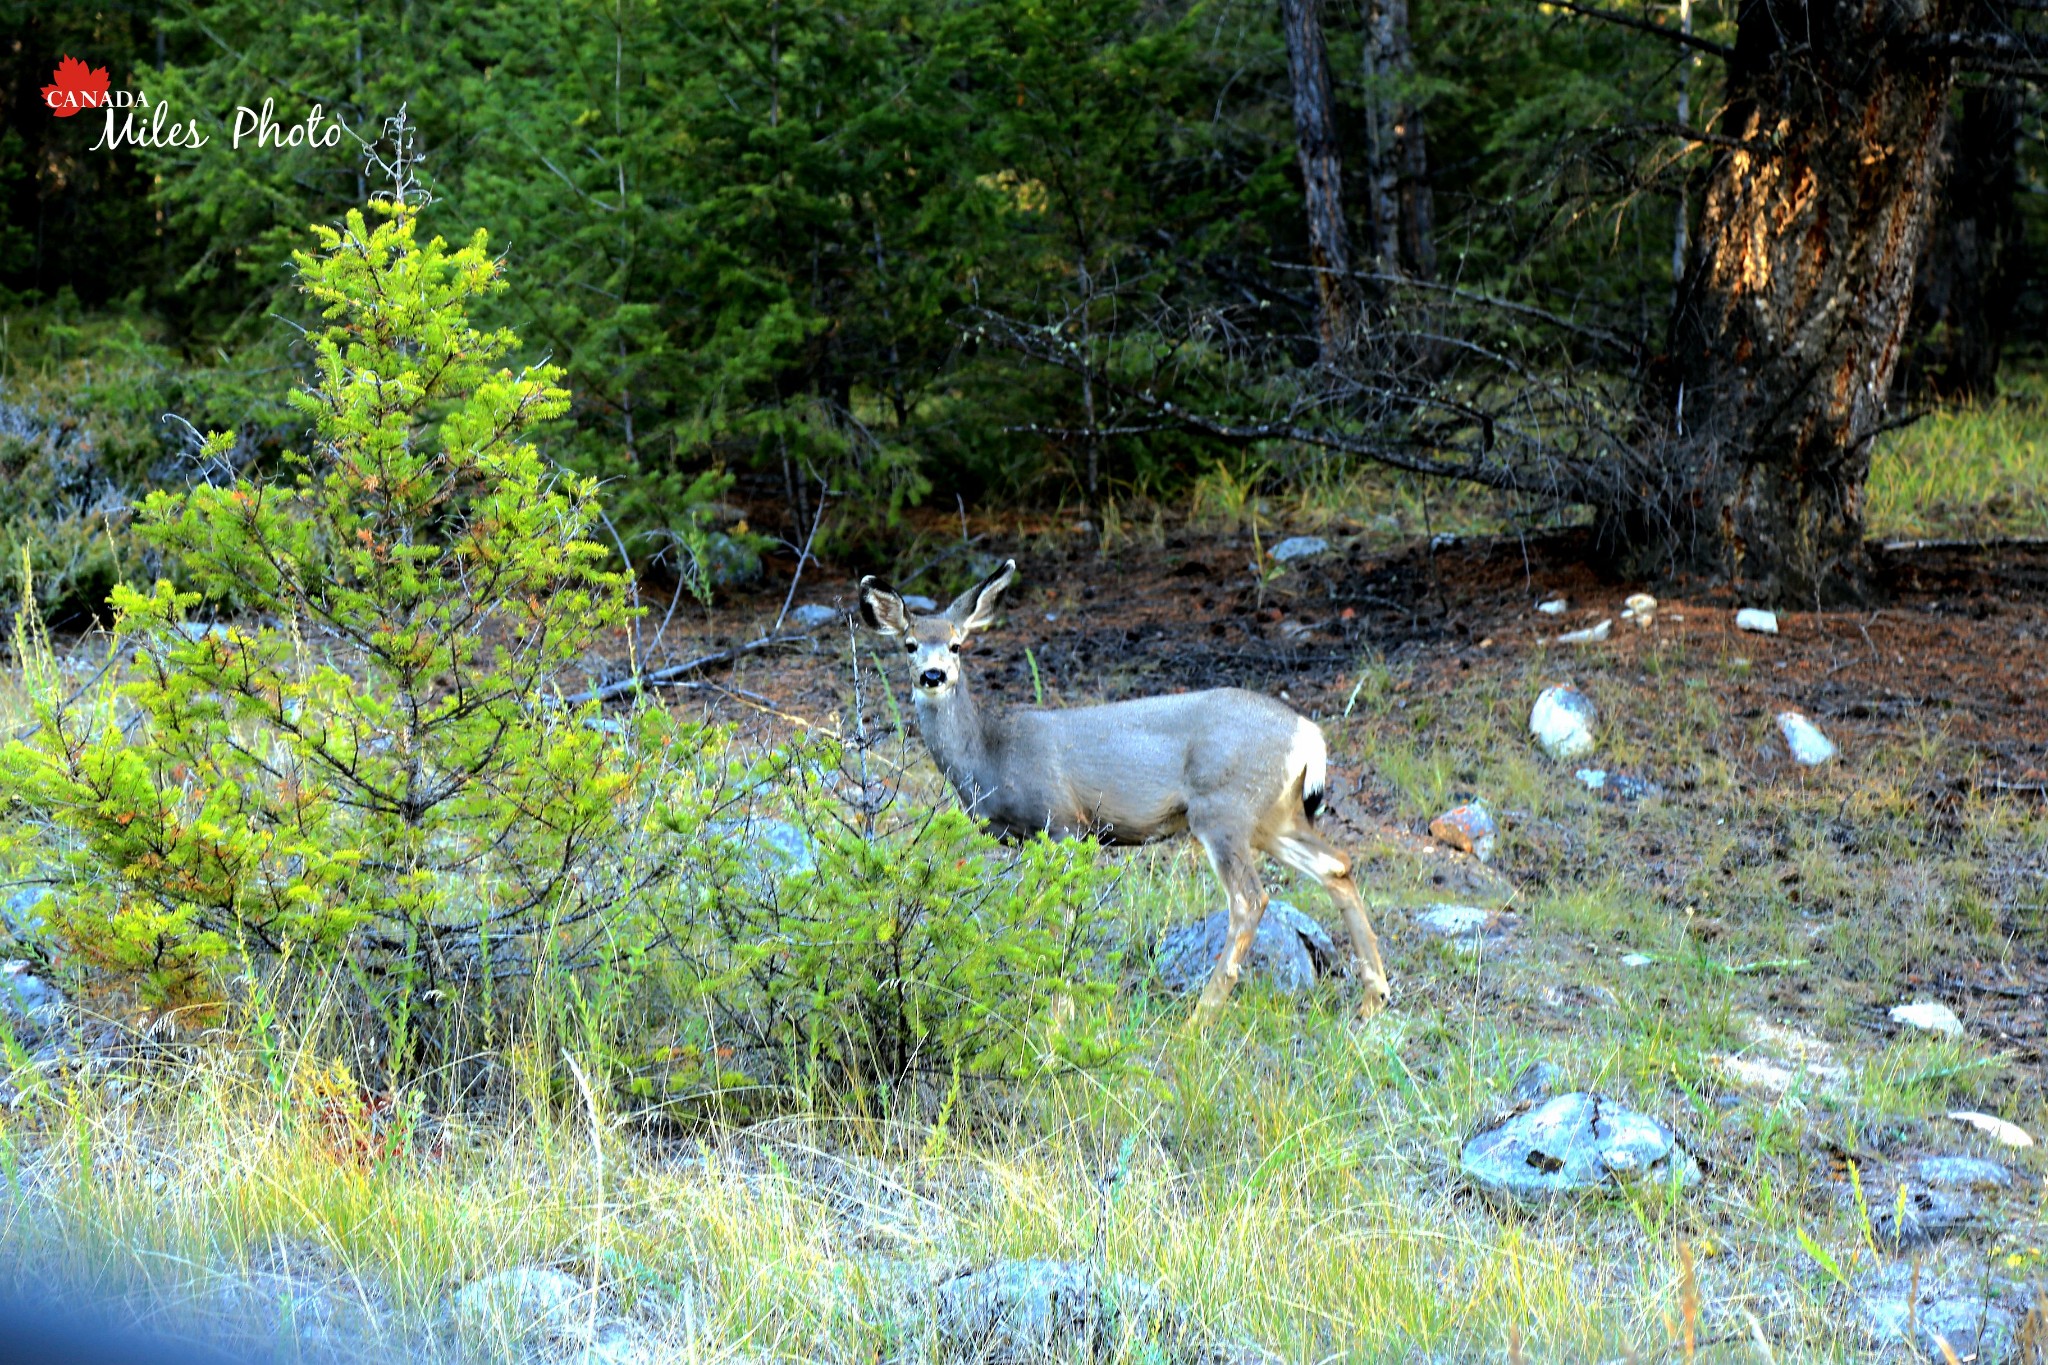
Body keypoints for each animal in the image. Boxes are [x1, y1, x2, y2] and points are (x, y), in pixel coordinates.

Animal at [856, 560, 1384, 1019]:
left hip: (1223, 808)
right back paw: (1373, 998)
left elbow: (1062, 916)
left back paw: (1200, 1018)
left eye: (957, 644)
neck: (991, 753)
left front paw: (1057, 1016)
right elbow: (1033, 914)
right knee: (1337, 864)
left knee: (1250, 900)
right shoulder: (1029, 839)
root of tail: (1307, 734)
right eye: (909, 645)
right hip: (1274, 816)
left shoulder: (1063, 821)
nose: (933, 676)